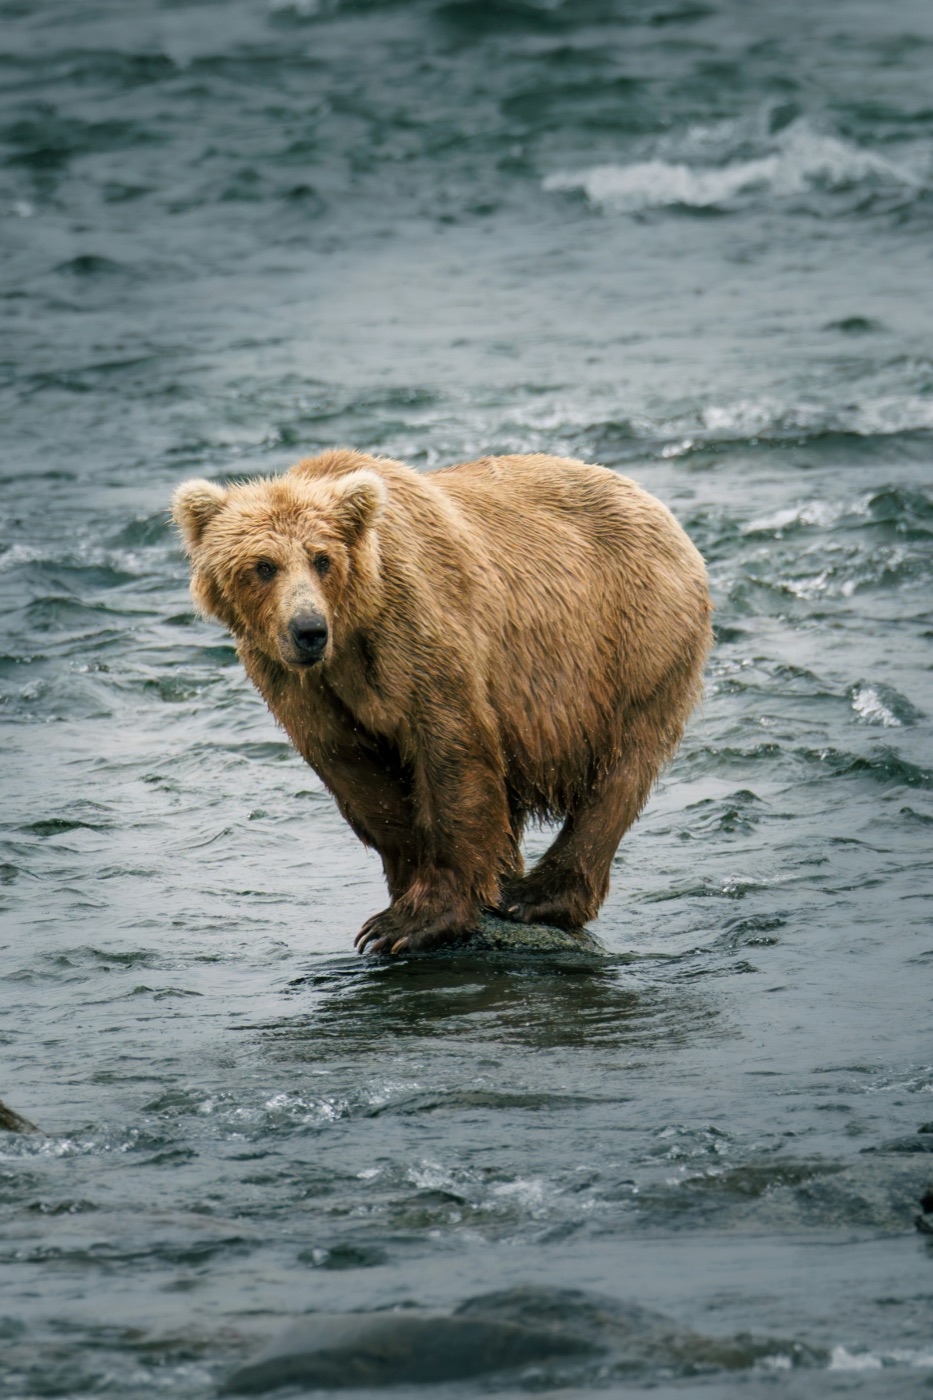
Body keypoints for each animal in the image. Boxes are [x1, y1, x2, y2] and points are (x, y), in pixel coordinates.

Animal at [172, 449, 712, 955]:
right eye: (263, 566)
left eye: (321, 558)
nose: (308, 630)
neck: (352, 627)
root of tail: (655, 504)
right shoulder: (299, 684)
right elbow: (357, 774)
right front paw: (403, 891)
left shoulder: (416, 629)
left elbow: (451, 748)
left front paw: (411, 922)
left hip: (633, 639)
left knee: (621, 770)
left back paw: (537, 894)